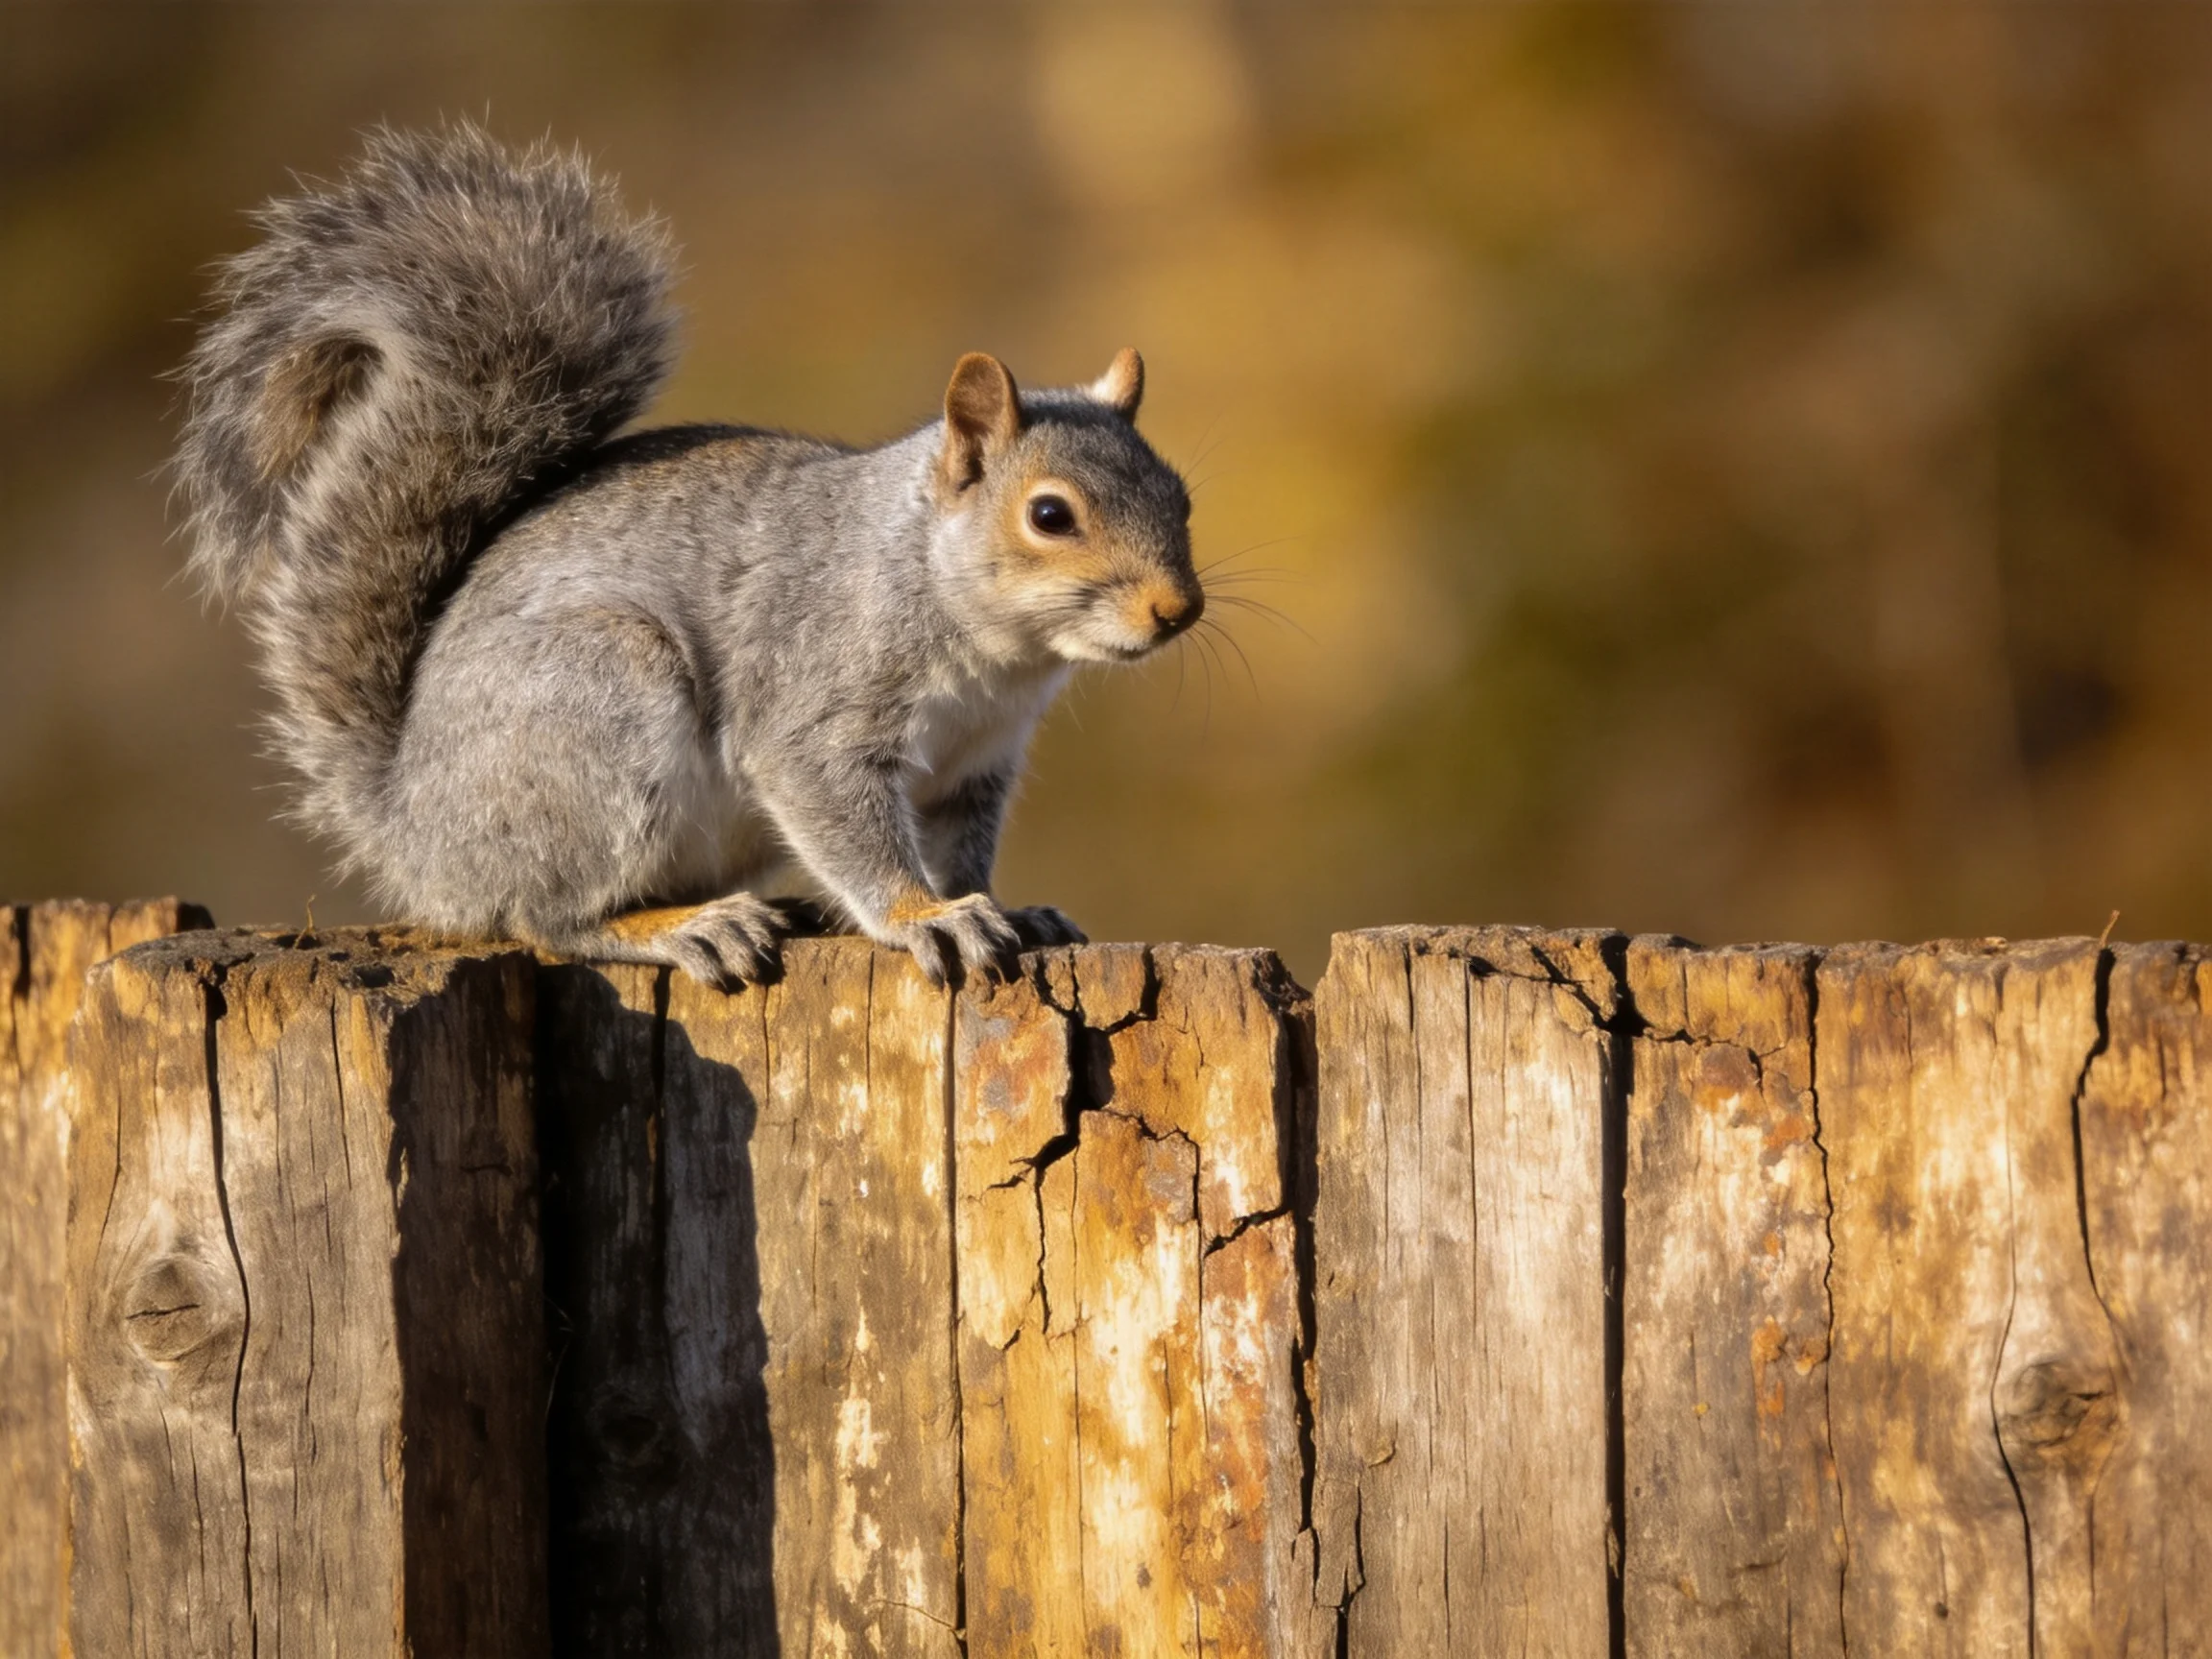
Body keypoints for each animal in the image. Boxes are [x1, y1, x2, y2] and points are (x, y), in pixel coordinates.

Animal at [174, 123, 1203, 988]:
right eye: (1049, 515)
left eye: (1182, 496)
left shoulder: (974, 768)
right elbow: (848, 821)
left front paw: (1007, 910)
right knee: (544, 915)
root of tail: (415, 832)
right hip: (599, 709)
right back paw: (686, 928)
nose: (1178, 610)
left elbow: (962, 851)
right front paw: (926, 918)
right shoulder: (814, 704)